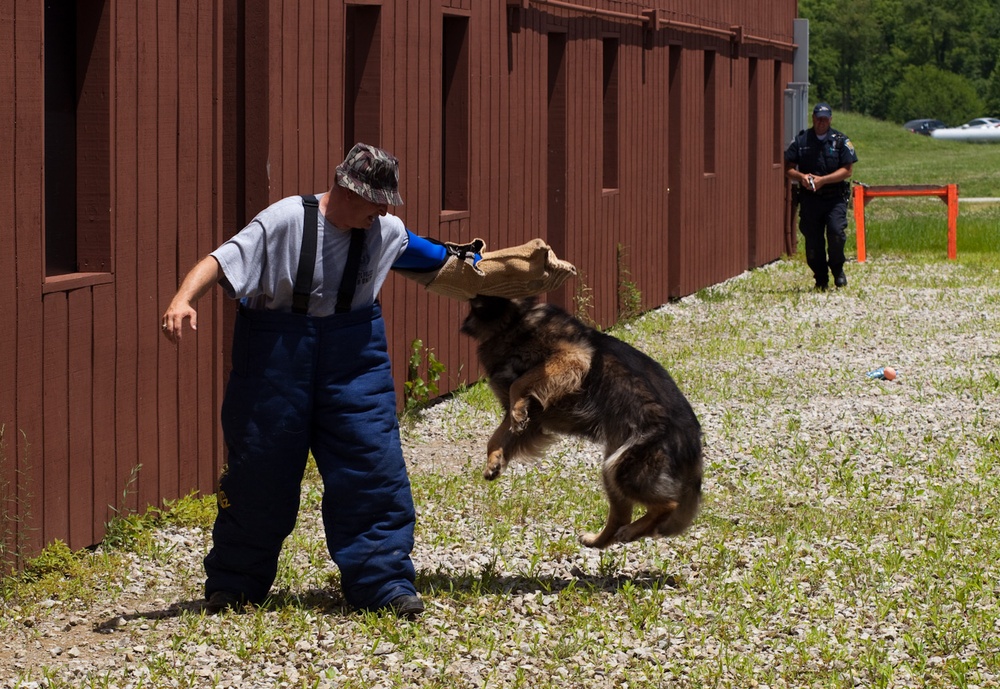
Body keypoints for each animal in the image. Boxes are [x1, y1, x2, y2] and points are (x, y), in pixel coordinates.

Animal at [460, 296, 704, 548]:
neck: (511, 321)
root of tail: (692, 435)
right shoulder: (532, 420)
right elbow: (495, 437)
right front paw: (494, 461)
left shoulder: (572, 358)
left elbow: (519, 383)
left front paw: (517, 414)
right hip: (613, 467)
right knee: (621, 516)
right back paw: (600, 540)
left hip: (623, 468)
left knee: (667, 504)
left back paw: (631, 530)